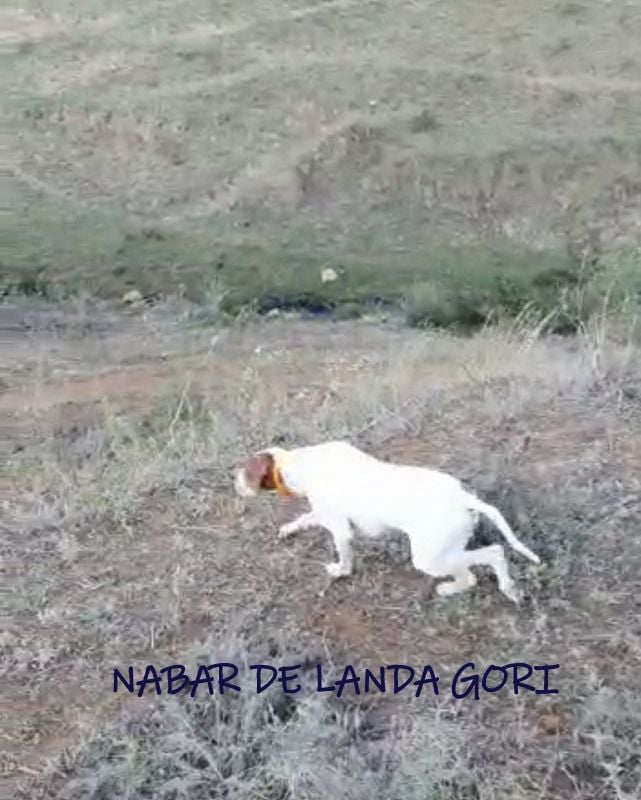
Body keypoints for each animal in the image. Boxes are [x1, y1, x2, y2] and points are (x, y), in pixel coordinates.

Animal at [232, 440, 536, 604]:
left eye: (246, 473)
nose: (233, 482)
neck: (300, 464)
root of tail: (463, 498)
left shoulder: (341, 530)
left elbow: (343, 557)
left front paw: (340, 572)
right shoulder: (323, 513)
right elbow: (304, 518)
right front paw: (288, 529)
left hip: (428, 557)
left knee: (490, 557)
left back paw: (491, 588)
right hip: (446, 549)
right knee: (474, 568)